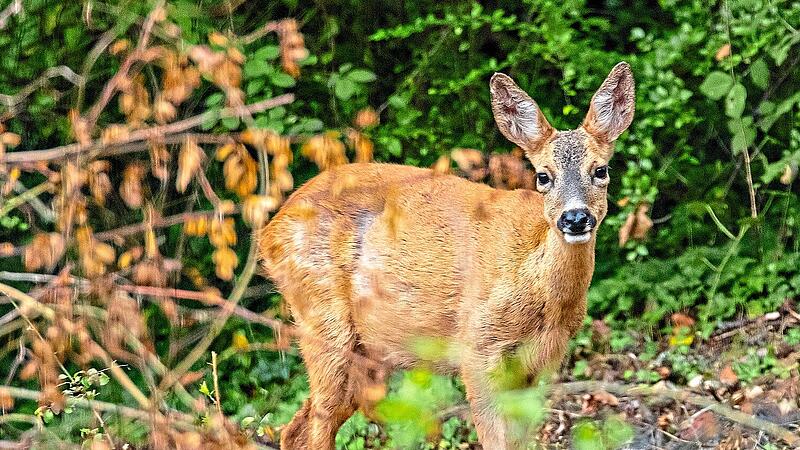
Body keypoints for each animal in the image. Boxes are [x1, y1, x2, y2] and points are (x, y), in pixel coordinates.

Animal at [259, 62, 635, 450]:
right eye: (544, 176)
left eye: (601, 170)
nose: (575, 218)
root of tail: (270, 230)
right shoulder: (477, 346)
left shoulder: (539, 362)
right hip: (323, 319)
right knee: (315, 424)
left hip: (367, 351)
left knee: (297, 427)